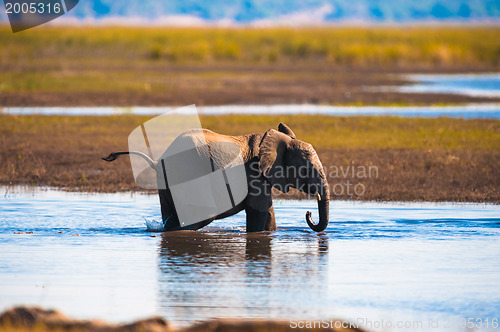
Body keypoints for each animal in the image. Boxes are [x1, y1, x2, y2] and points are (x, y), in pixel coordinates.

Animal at [102, 122, 328, 233]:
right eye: (307, 170)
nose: (308, 213)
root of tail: (157, 162)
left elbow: (268, 212)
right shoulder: (254, 173)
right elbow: (259, 211)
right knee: (198, 218)